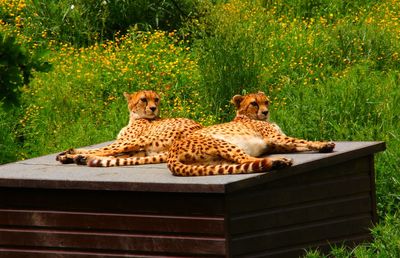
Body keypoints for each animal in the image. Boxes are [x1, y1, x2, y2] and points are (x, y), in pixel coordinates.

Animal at [55, 89, 203, 166]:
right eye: (143, 99)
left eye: (156, 99)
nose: (153, 108)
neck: (134, 118)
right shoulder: (140, 149)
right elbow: (114, 154)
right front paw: (71, 153)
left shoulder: (127, 141)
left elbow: (103, 149)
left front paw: (71, 153)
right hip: (146, 150)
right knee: (114, 155)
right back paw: (77, 157)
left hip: (140, 141)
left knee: (105, 151)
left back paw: (74, 156)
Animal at [167, 91, 336, 176]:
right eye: (254, 103)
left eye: (266, 101)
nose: (265, 112)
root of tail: (171, 153)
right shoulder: (276, 137)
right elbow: (302, 140)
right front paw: (323, 143)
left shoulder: (276, 144)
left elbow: (299, 145)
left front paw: (322, 146)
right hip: (223, 143)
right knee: (246, 159)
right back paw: (278, 161)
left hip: (215, 162)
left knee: (241, 164)